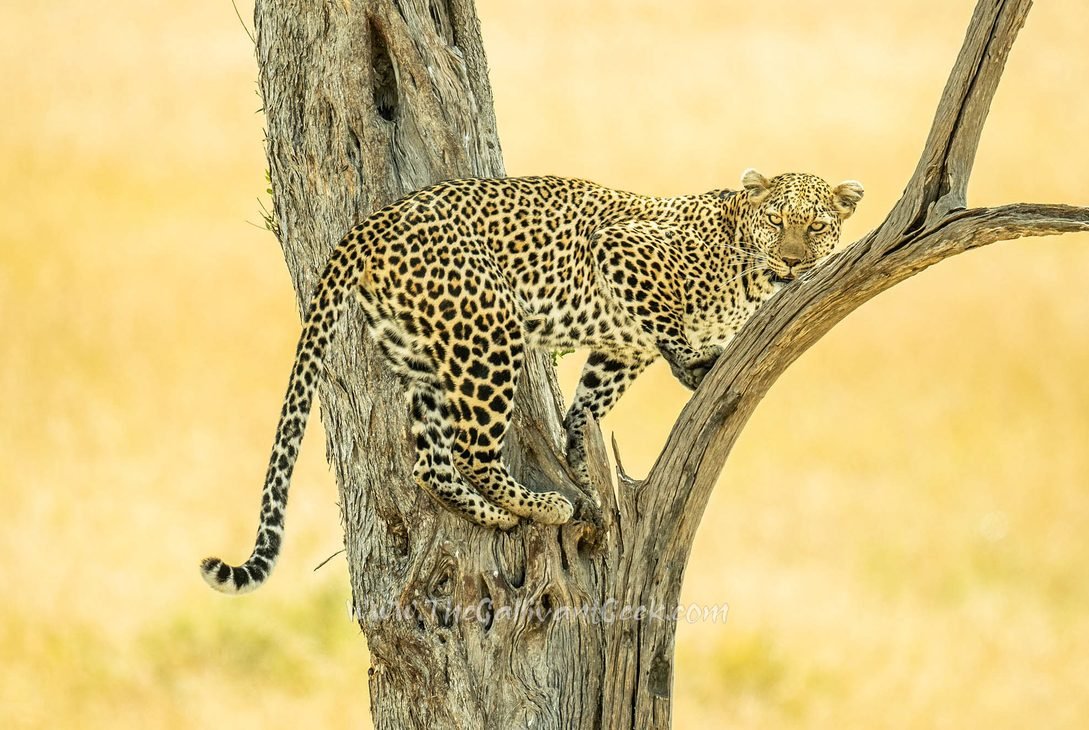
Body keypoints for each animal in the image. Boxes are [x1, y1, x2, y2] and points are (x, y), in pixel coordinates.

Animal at [201, 169, 863, 594]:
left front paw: (580, 460)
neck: (747, 270)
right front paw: (691, 363)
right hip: (489, 329)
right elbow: (665, 321)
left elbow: (587, 406)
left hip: (423, 353)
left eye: (817, 227)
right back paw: (543, 504)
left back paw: (498, 515)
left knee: (431, 461)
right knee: (471, 448)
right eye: (777, 220)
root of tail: (372, 221)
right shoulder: (621, 251)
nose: (794, 262)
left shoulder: (619, 350)